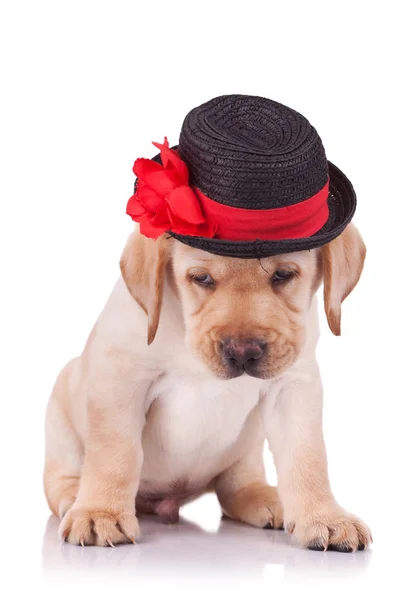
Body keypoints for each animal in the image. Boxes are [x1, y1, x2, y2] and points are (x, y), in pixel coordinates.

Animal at [42, 223, 370, 552]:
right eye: (201, 278)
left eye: (283, 274)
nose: (242, 352)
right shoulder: (121, 378)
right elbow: (115, 454)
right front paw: (100, 512)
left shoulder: (292, 386)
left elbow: (307, 456)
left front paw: (325, 517)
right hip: (62, 407)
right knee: (60, 480)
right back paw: (75, 499)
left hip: (246, 447)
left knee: (236, 485)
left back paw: (266, 497)